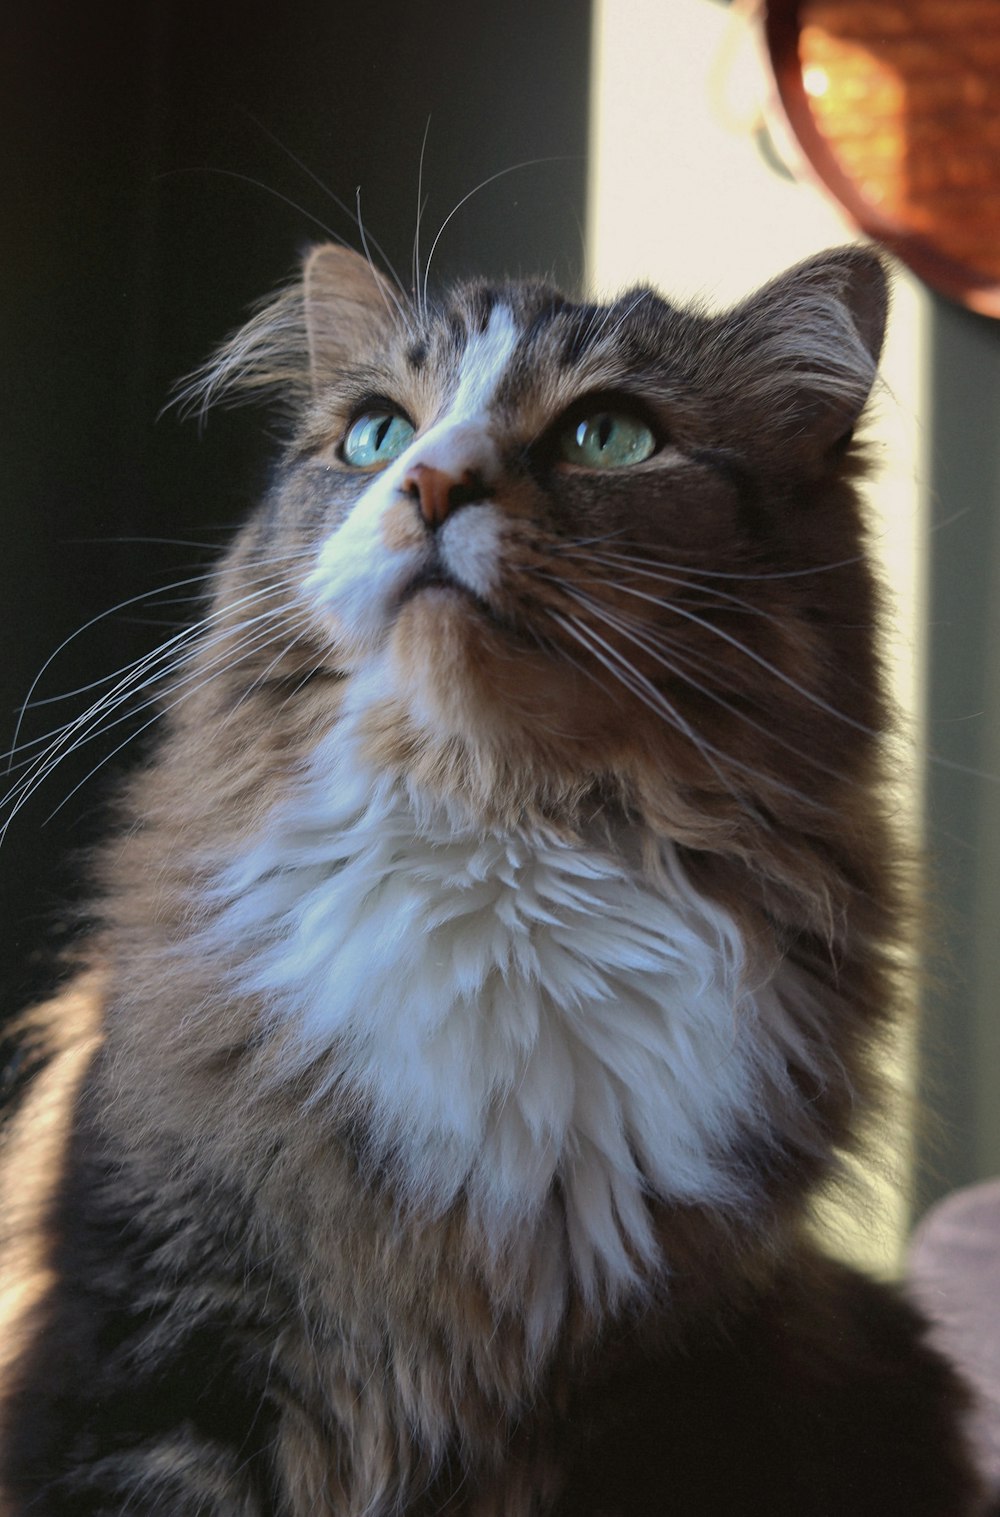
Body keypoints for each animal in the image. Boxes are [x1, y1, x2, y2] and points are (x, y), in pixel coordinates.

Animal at [0, 245, 989, 1517]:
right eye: (375, 434)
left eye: (608, 436)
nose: (429, 483)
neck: (496, 850)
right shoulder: (150, 1342)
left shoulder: (641, 1396)